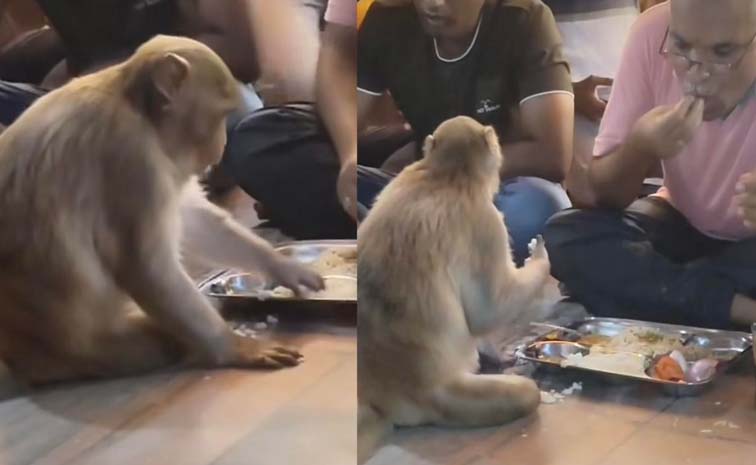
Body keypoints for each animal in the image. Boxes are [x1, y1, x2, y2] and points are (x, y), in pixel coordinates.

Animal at [0, 35, 325, 386]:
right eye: (220, 116)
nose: (222, 144)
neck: (135, 107)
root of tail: (19, 357)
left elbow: (194, 221)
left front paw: (284, 267)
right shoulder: (132, 158)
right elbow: (147, 267)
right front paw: (235, 347)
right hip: (86, 352)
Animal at [357, 116, 551, 462]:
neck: (443, 174)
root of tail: (383, 395)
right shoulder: (486, 222)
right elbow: (487, 311)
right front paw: (541, 260)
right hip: (442, 399)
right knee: (527, 395)